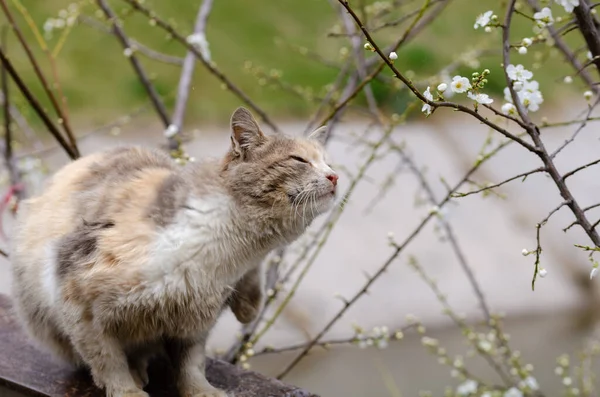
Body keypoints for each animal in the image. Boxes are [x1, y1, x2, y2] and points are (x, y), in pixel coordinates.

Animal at [8, 106, 338, 396]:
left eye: (328, 162)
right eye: (299, 160)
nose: (335, 176)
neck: (231, 250)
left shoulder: (195, 318)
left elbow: (191, 363)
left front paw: (202, 391)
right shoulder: (77, 299)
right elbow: (106, 357)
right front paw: (126, 391)